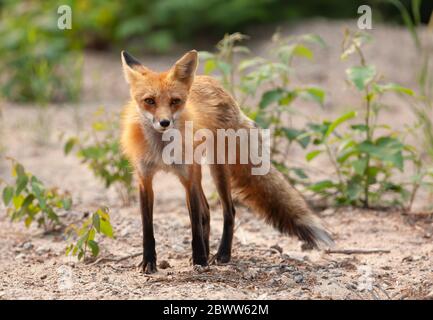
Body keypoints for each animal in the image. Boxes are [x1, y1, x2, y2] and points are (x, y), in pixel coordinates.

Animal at [120, 49, 332, 272]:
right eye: (149, 101)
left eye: (175, 101)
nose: (164, 122)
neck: (162, 149)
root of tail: (216, 85)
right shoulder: (145, 179)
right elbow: (148, 227)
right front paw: (149, 261)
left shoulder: (188, 177)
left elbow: (194, 224)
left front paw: (200, 260)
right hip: (200, 172)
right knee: (206, 211)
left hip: (217, 169)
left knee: (228, 211)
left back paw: (222, 254)